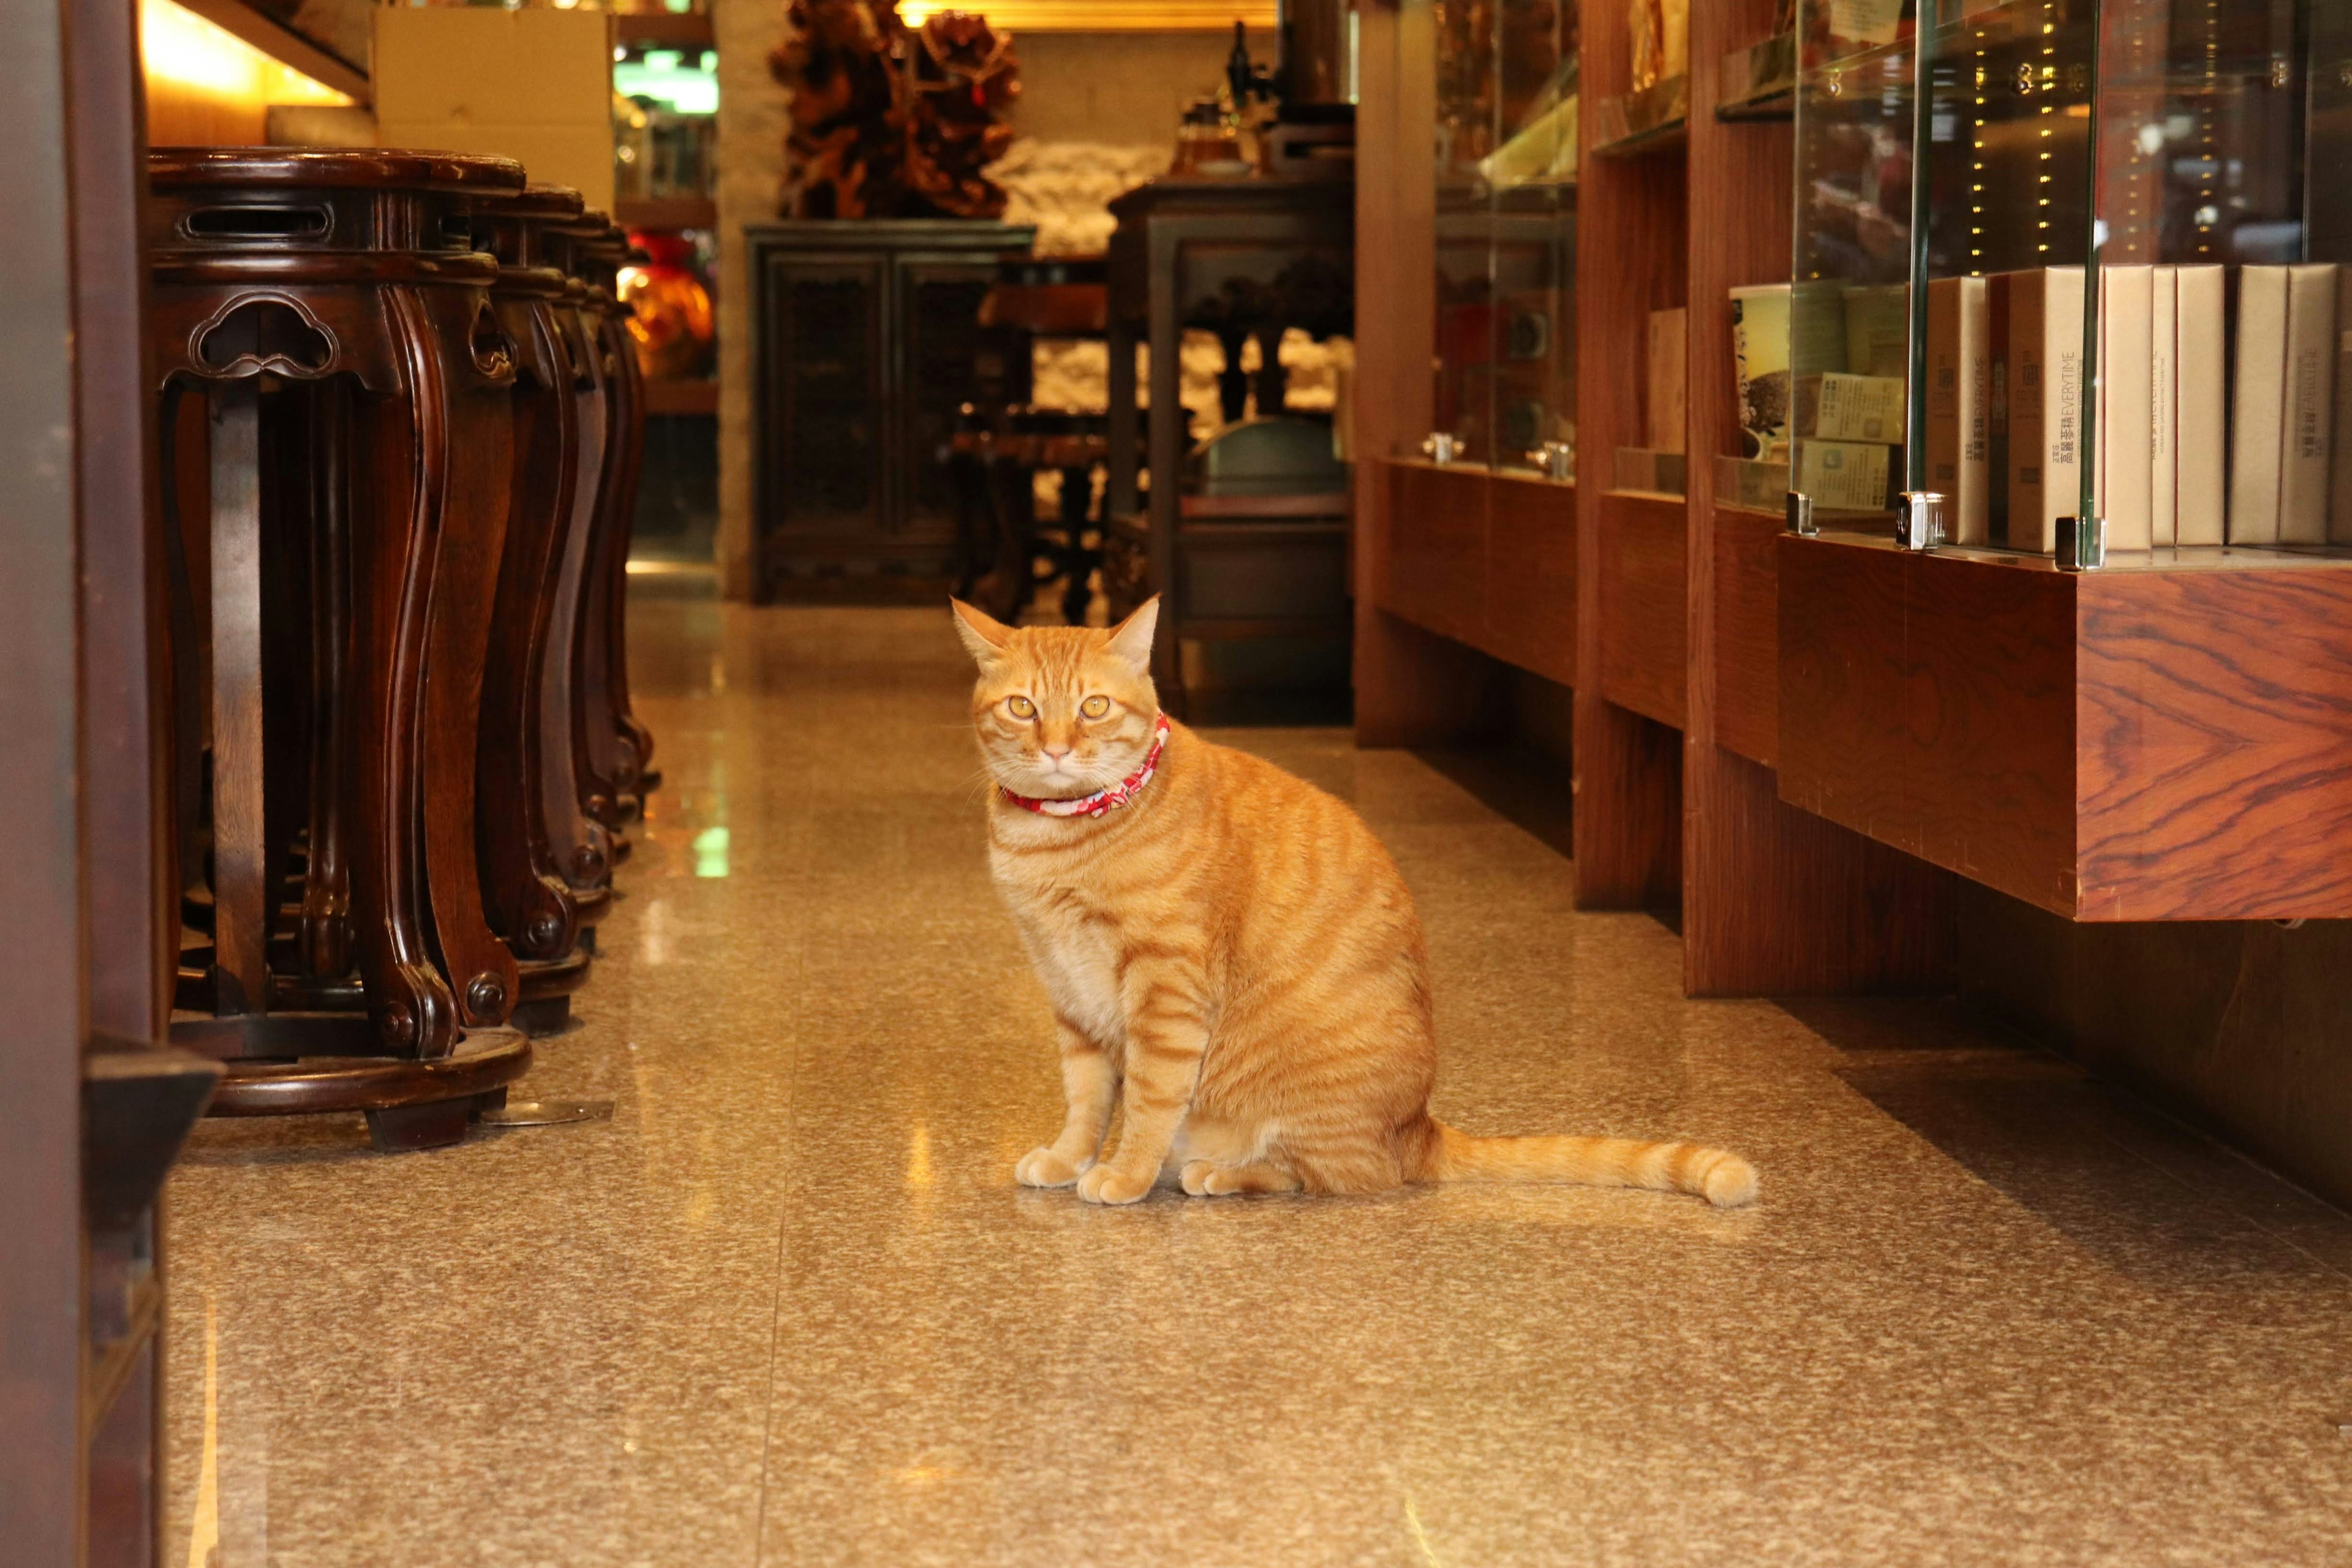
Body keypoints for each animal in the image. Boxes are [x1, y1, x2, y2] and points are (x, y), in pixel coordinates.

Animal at [945, 595, 1759, 1213]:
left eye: (1092, 706)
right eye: (1022, 706)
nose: (1055, 749)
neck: (1061, 834)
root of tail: (1418, 1125)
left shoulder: (1165, 990)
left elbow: (1146, 1097)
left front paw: (1125, 1173)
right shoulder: (1070, 992)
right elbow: (1087, 1100)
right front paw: (1070, 1158)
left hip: (1304, 1115)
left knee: (1338, 1176)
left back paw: (1219, 1172)